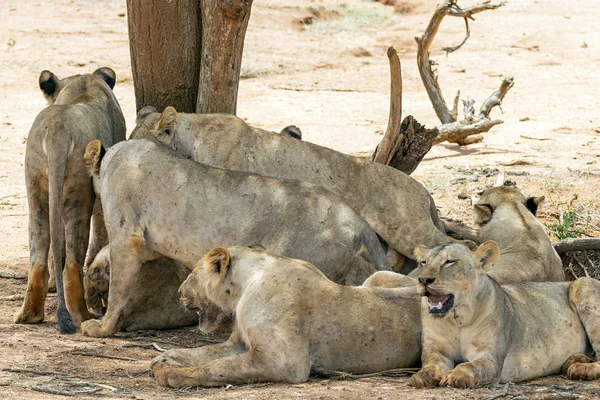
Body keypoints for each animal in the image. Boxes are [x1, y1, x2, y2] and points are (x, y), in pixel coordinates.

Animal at [15, 67, 125, 332]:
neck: (82, 84)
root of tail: (58, 128)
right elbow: (99, 238)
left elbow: (56, 248)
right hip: (78, 194)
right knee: (74, 261)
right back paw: (82, 315)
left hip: (36, 190)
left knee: (39, 252)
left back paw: (30, 315)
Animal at [82, 138, 392, 338]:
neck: (112, 158)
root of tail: (357, 218)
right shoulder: (144, 244)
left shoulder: (127, 236)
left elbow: (119, 287)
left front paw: (101, 327)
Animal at [150, 247, 422, 388]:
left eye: (192, 274)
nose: (179, 292)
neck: (245, 286)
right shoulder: (239, 343)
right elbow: (205, 353)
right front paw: (165, 358)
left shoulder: (285, 362)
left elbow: (218, 366)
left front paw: (172, 374)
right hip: (377, 277)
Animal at [410, 241, 600, 388]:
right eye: (423, 262)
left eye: (449, 262)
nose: (423, 280)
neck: (457, 319)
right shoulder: (436, 349)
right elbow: (430, 364)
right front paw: (422, 376)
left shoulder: (490, 357)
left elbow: (471, 366)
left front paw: (456, 375)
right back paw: (574, 360)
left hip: (582, 283)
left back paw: (581, 369)